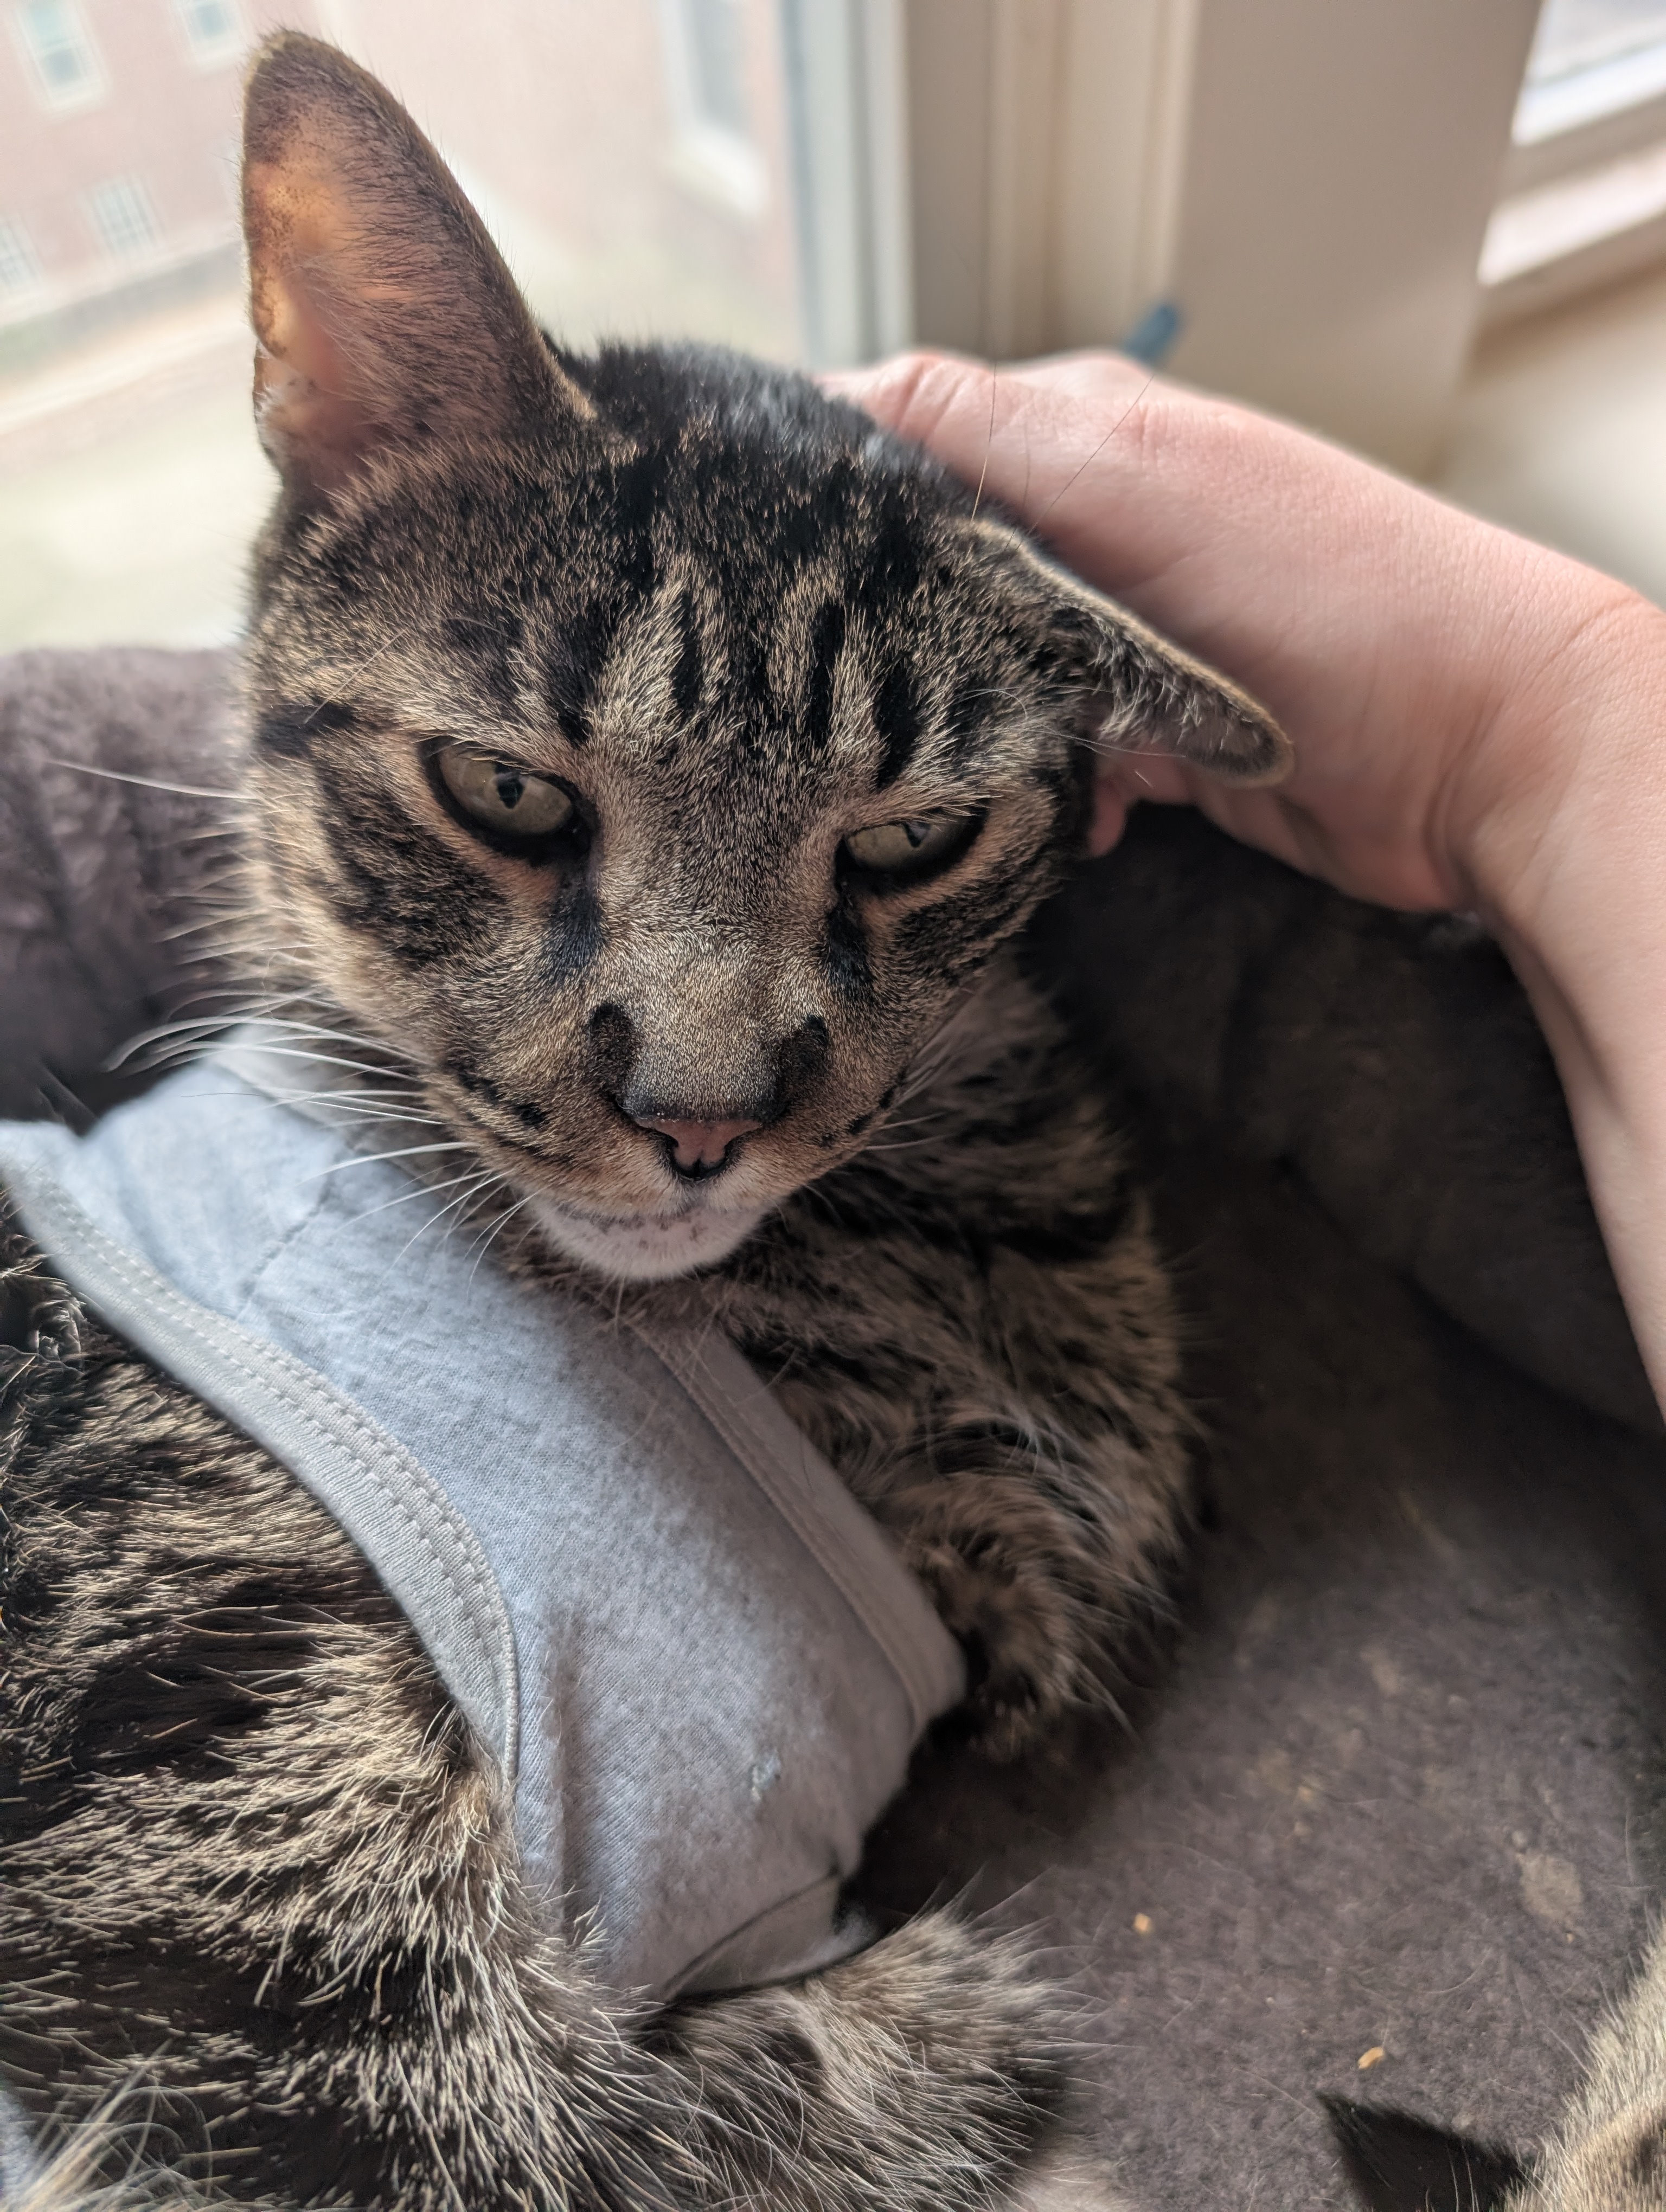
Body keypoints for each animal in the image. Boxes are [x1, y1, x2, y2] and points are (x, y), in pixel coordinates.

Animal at [0, 32, 1288, 2212]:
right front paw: (944, 2046)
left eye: (914, 841)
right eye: (506, 793)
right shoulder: (199, 1827)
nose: (699, 1110)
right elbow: (544, 2120)